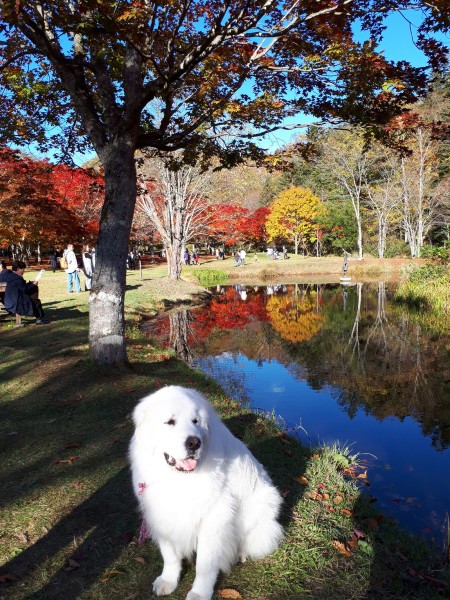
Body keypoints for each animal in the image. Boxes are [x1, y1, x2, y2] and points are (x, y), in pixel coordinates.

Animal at [129, 386, 282, 600]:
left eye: (196, 421)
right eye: (170, 422)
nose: (194, 443)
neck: (179, 480)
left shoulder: (213, 521)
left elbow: (205, 564)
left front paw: (199, 593)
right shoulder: (161, 516)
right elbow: (170, 556)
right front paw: (168, 580)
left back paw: (240, 553)